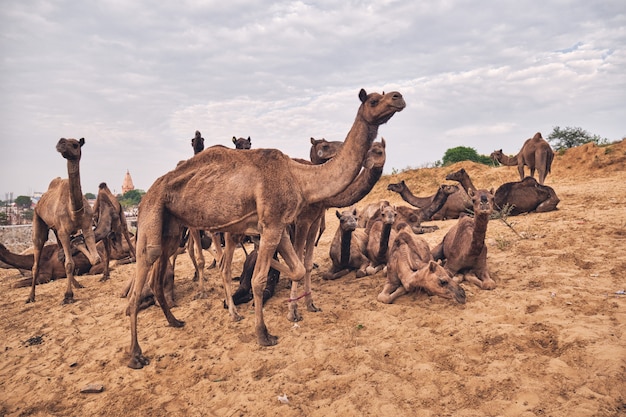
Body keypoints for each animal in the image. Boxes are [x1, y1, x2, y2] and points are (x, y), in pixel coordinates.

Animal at [27, 138, 100, 304]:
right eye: (63, 141)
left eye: (75, 144)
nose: (61, 143)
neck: (75, 212)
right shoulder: (64, 231)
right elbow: (69, 263)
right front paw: (68, 296)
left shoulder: (86, 226)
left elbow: (95, 259)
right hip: (38, 218)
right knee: (37, 255)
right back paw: (30, 297)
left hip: (56, 230)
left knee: (62, 254)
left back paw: (77, 284)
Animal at [125, 88, 404, 368]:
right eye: (374, 100)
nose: (398, 97)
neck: (301, 178)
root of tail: (147, 194)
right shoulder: (277, 223)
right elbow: (259, 279)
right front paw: (265, 333)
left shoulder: (279, 224)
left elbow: (299, 267)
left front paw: (298, 299)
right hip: (152, 216)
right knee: (143, 275)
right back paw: (136, 354)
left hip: (172, 228)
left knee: (167, 269)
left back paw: (176, 320)